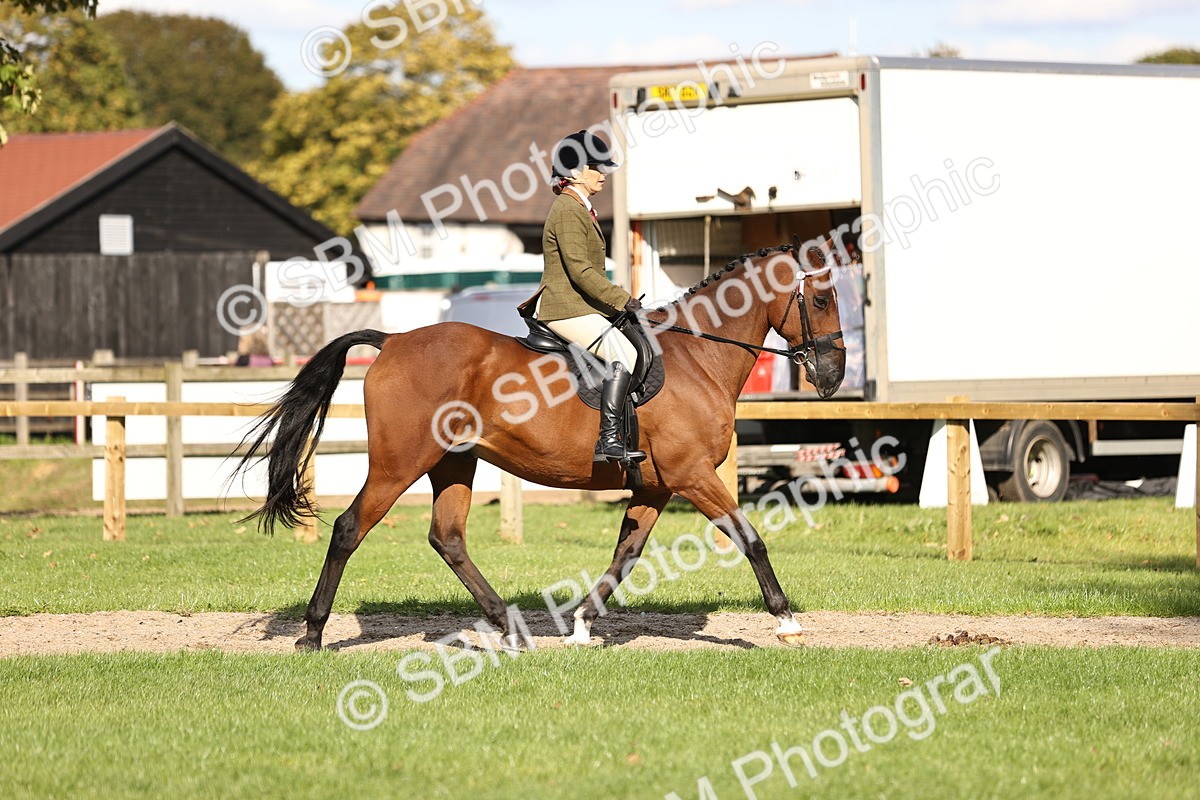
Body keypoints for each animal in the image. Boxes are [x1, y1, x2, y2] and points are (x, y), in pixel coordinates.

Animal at [236, 239, 846, 651]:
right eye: (820, 300)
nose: (833, 375)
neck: (697, 358)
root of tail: (393, 341)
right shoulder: (693, 475)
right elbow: (751, 539)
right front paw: (786, 622)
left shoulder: (657, 486)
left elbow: (625, 555)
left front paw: (579, 626)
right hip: (399, 463)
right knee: (349, 528)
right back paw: (313, 635)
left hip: (452, 462)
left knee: (447, 538)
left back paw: (509, 628)